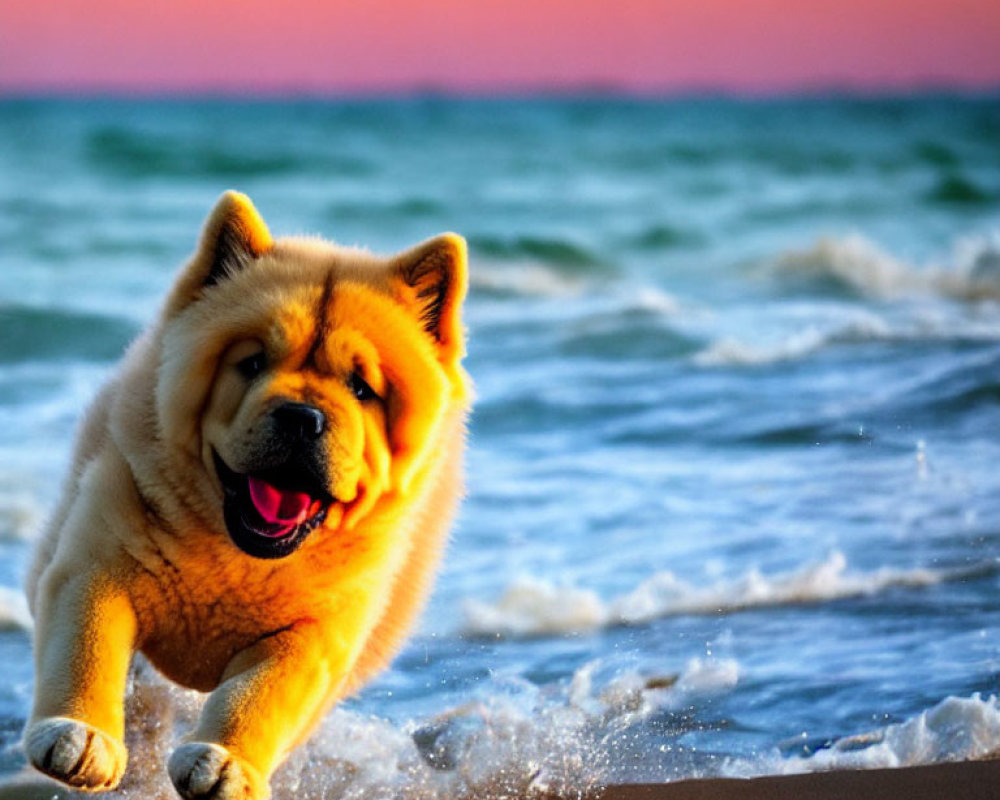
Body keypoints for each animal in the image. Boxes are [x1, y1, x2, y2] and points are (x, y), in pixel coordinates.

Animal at [20, 191, 472, 796]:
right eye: (252, 363)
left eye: (362, 388)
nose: (302, 416)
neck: (236, 555)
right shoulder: (99, 560)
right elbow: (86, 646)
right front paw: (80, 737)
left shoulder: (316, 634)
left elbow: (259, 696)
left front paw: (224, 765)